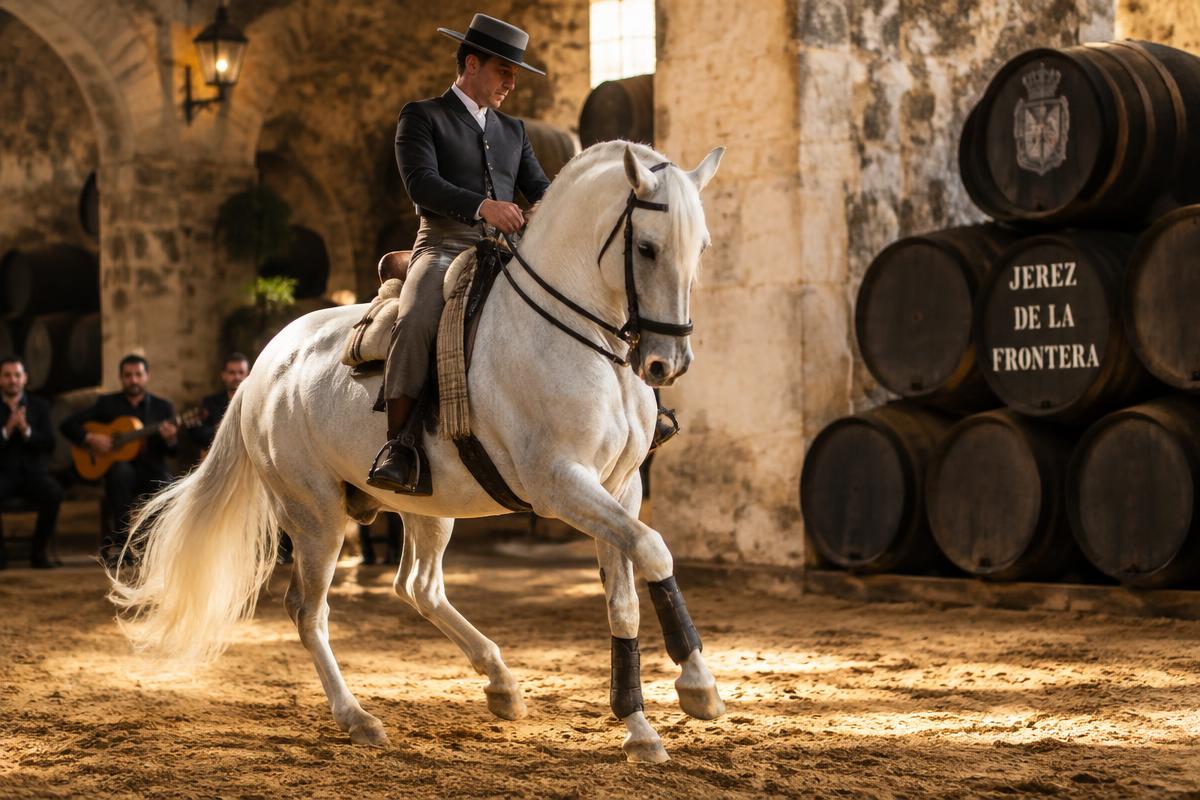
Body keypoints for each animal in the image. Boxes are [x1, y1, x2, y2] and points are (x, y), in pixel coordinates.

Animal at [108, 140, 726, 764]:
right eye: (646, 248)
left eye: (700, 247)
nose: (667, 364)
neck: (578, 338)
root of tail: (262, 366)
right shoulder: (561, 484)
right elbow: (654, 550)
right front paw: (696, 687)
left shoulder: (620, 486)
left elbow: (623, 597)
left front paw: (642, 726)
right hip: (315, 515)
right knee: (310, 611)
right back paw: (357, 718)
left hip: (427, 506)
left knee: (418, 588)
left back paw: (501, 684)